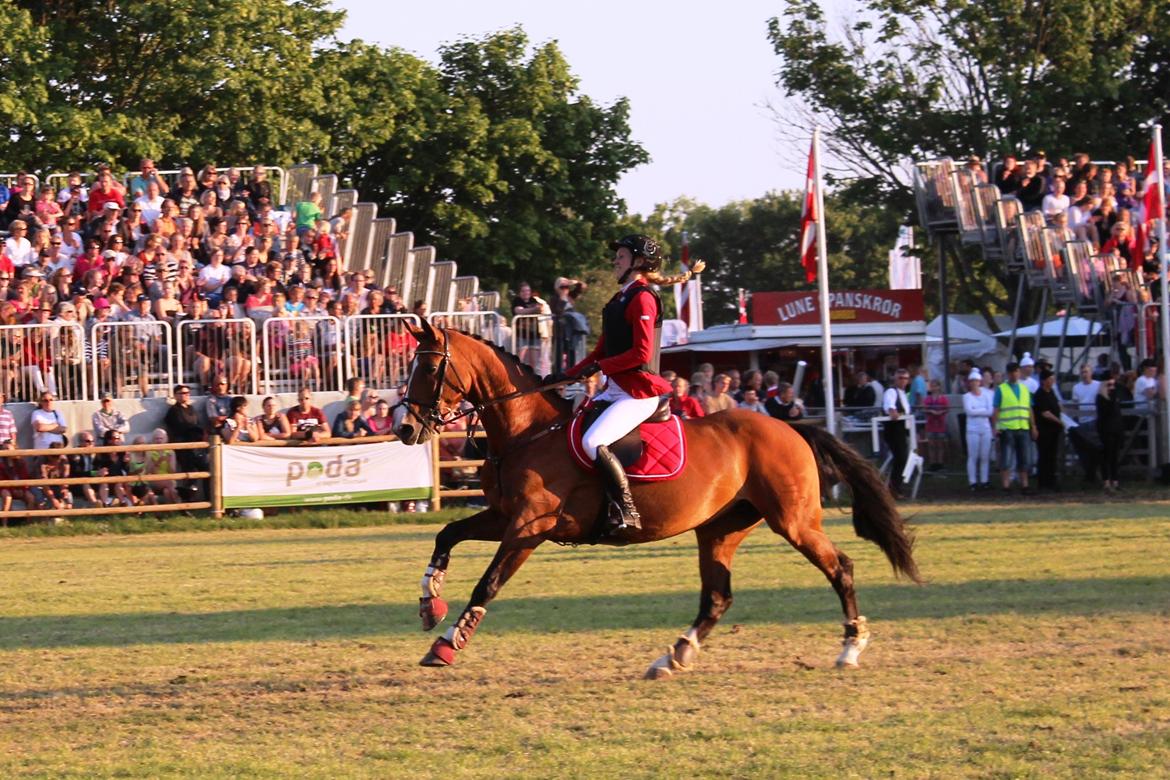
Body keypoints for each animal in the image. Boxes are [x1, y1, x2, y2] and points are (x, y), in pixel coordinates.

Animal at [397, 320, 917, 678]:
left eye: (429, 366)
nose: (404, 430)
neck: (529, 430)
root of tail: (788, 426)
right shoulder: (504, 517)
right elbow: (447, 534)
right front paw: (429, 604)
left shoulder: (529, 527)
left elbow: (488, 584)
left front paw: (447, 644)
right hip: (721, 528)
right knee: (718, 597)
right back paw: (673, 656)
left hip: (794, 521)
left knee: (839, 568)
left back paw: (850, 648)